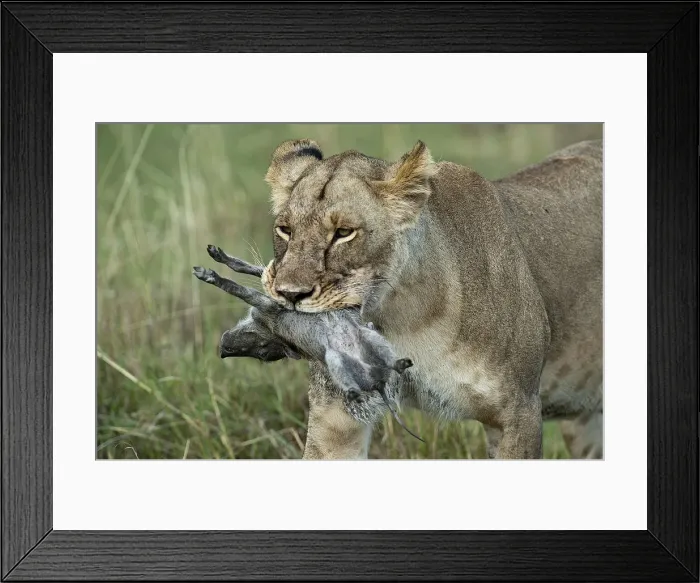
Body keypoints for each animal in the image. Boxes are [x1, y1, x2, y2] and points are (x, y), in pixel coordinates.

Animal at [260, 137, 603, 460]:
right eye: (285, 230)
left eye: (344, 233)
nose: (290, 294)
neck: (399, 319)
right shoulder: (336, 412)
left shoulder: (520, 411)